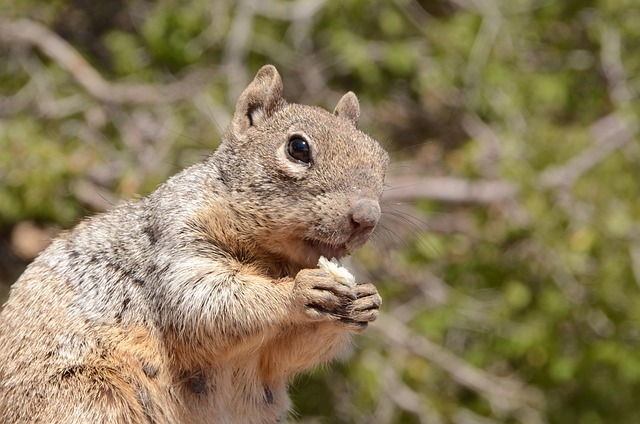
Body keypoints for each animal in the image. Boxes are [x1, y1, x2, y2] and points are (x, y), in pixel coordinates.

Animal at [0, 65, 389, 423]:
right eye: (298, 147)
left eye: (382, 158)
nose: (366, 217)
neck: (276, 258)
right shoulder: (177, 236)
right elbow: (200, 298)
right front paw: (298, 290)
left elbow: (290, 352)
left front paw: (366, 301)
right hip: (88, 397)